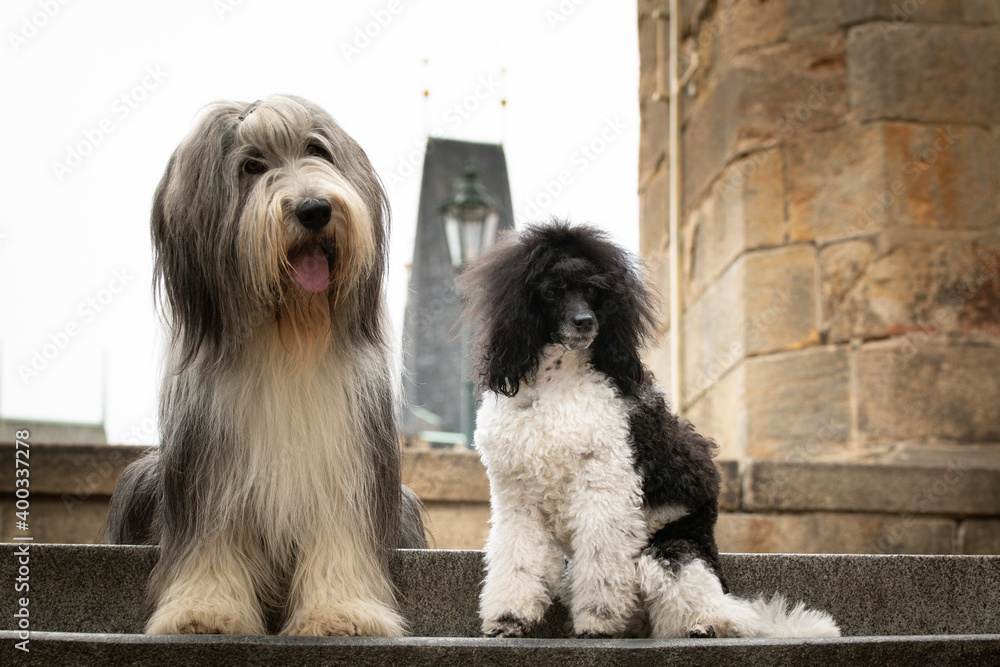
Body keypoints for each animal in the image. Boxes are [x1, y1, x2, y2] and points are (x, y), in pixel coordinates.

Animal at [106, 94, 426, 636]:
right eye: (251, 166)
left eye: (317, 149)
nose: (315, 209)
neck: (288, 336)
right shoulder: (209, 464)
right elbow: (211, 541)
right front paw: (204, 611)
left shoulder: (344, 460)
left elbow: (340, 535)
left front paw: (342, 612)